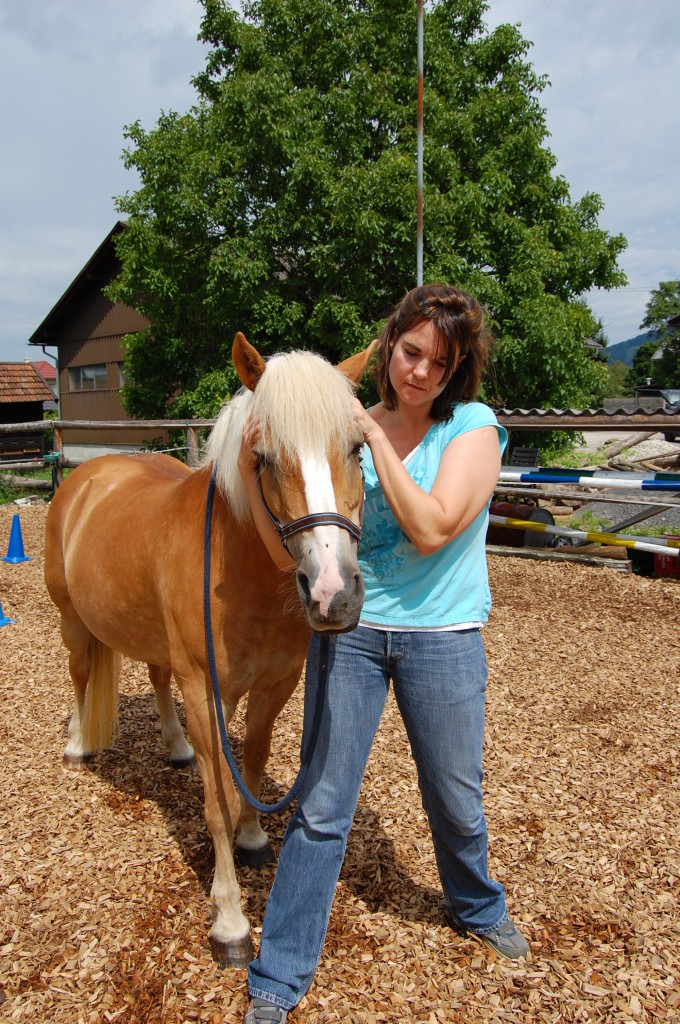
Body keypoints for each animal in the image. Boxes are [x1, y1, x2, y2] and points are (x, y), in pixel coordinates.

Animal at [45, 331, 374, 962]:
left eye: (357, 448)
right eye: (263, 457)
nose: (333, 593)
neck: (240, 570)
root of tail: (86, 476)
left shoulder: (275, 686)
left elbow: (253, 762)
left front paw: (254, 837)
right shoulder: (204, 692)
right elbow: (217, 799)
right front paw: (230, 920)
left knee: (154, 677)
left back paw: (175, 748)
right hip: (72, 619)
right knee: (79, 675)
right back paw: (76, 745)